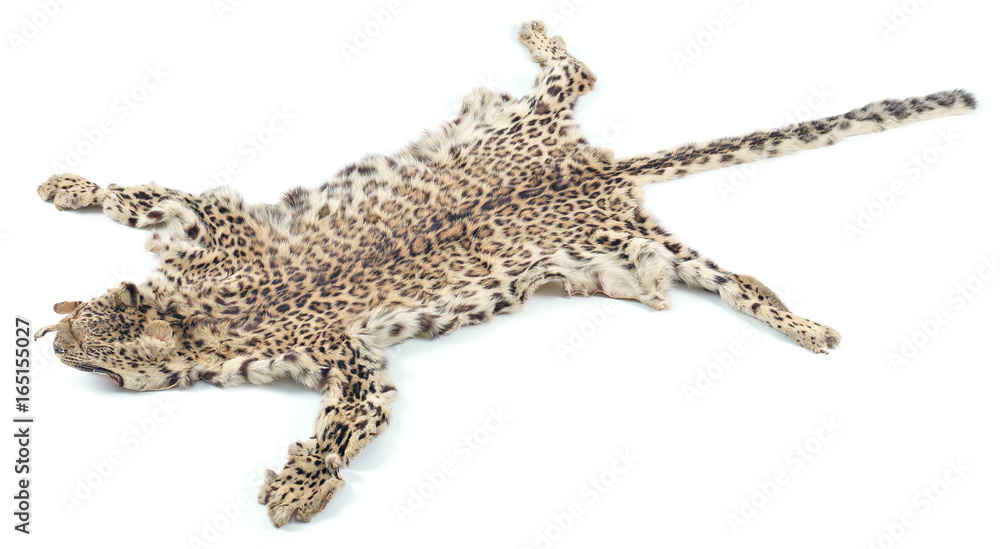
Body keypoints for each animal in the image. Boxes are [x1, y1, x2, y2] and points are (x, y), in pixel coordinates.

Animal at [34, 21, 976, 527]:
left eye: (104, 359)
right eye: (87, 327)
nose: (51, 346)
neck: (201, 311)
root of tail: (597, 166)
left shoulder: (347, 356)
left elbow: (343, 425)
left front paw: (301, 485)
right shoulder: (203, 228)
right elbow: (133, 195)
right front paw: (66, 187)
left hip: (629, 226)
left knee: (723, 257)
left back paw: (805, 324)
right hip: (593, 205)